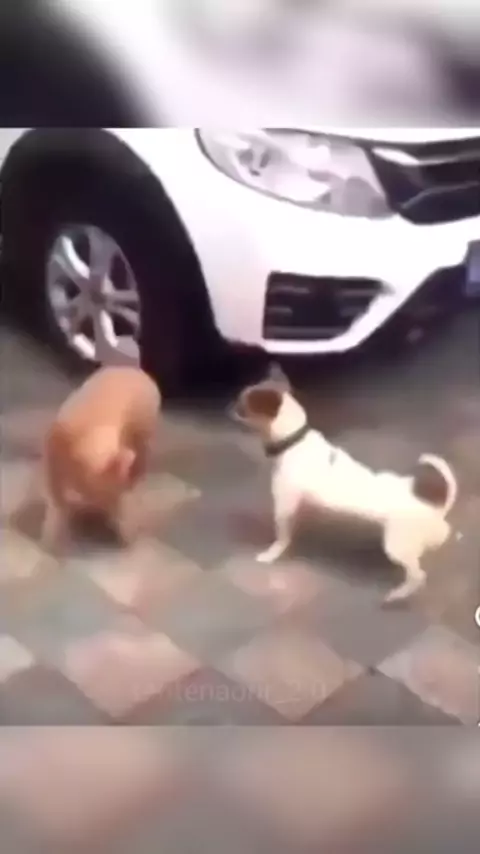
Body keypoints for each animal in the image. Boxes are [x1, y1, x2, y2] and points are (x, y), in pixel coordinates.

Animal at [40, 366, 161, 551]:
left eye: (120, 497)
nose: (131, 542)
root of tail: (135, 370)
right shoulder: (51, 457)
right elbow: (56, 500)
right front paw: (50, 544)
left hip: (145, 433)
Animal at [230, 364, 457, 604]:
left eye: (243, 406)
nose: (230, 408)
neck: (294, 442)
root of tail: (435, 505)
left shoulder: (284, 506)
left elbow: (281, 538)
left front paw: (271, 554)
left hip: (397, 544)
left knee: (418, 575)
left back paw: (397, 595)